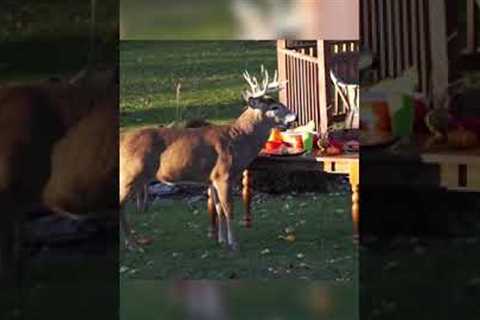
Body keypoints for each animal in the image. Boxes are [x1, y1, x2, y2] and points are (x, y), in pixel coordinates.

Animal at [120, 65, 296, 250]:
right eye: (274, 107)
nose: (295, 116)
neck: (238, 139)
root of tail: (122, 140)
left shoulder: (212, 179)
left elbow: (219, 209)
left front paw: (222, 240)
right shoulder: (223, 175)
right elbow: (228, 209)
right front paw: (233, 243)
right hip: (131, 173)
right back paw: (132, 244)